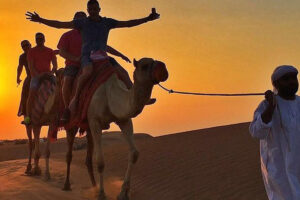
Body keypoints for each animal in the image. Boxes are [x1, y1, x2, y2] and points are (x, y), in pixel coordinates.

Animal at [61, 56, 168, 200]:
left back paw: (94, 188)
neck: (110, 94)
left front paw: (123, 193)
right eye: (144, 66)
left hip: (88, 127)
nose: (163, 68)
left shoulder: (124, 119)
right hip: (73, 120)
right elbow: (100, 161)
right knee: (69, 152)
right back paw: (67, 185)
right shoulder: (95, 120)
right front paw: (102, 194)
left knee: (88, 159)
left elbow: (134, 153)